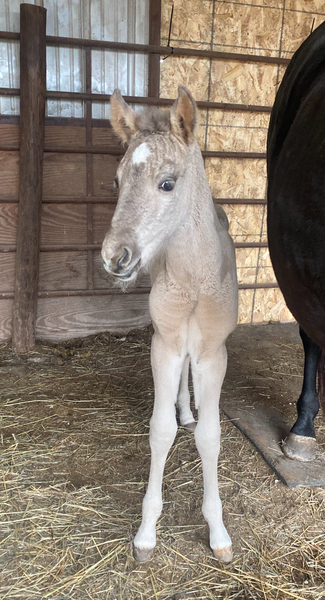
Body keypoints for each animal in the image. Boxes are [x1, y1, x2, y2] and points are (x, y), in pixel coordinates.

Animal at [101, 85, 238, 564]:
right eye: (118, 181)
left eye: (167, 183)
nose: (114, 257)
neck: (194, 280)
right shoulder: (164, 344)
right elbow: (159, 431)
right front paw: (146, 533)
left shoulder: (214, 353)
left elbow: (211, 438)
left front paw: (218, 533)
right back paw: (183, 409)